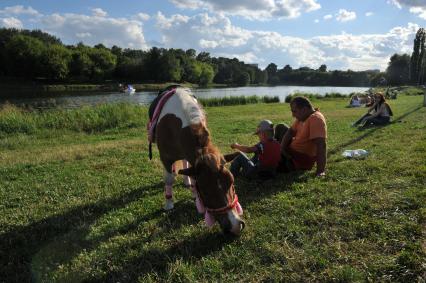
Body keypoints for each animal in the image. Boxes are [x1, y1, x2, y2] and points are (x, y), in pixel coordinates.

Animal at [151, 86, 245, 235]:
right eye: (205, 191)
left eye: (232, 182)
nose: (235, 226)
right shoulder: (166, 158)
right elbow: (169, 179)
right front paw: (169, 203)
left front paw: (193, 192)